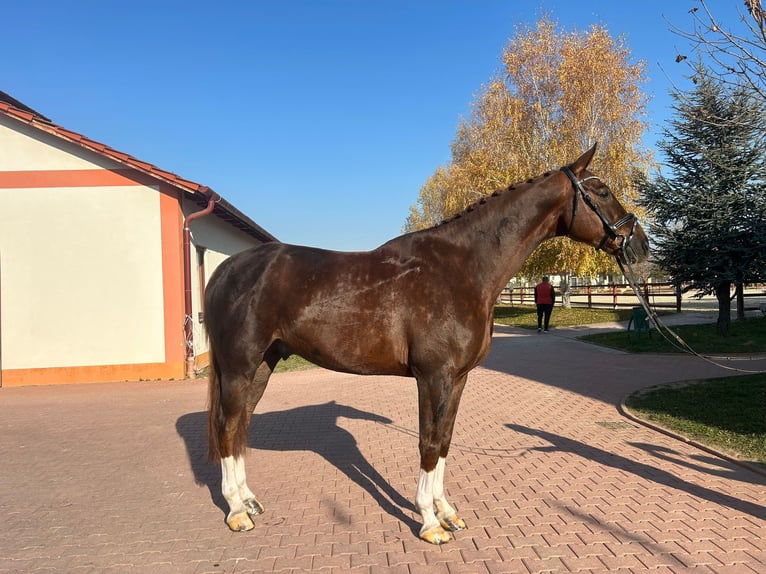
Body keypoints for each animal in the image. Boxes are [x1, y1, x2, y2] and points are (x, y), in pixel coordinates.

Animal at [204, 146, 648, 548]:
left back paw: (249, 501)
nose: (640, 244)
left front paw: (447, 512)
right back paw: (237, 512)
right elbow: (429, 443)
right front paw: (430, 522)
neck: (462, 268)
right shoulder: (433, 377)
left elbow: (445, 440)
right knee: (227, 427)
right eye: (603, 190)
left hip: (263, 364)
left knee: (240, 426)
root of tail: (225, 269)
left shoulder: (458, 379)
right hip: (240, 367)